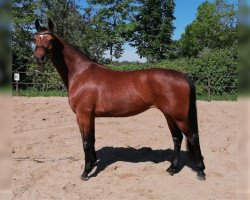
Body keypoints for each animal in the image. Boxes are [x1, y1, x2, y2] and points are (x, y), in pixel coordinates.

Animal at [32, 19, 205, 181]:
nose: (39, 58)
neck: (80, 73)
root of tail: (182, 75)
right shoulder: (90, 116)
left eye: (51, 39)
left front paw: (86, 171)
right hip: (169, 115)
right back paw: (172, 168)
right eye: (35, 38)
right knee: (177, 138)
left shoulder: (83, 115)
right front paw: (93, 163)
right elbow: (92, 140)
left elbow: (86, 142)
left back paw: (201, 171)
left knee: (193, 137)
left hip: (179, 117)